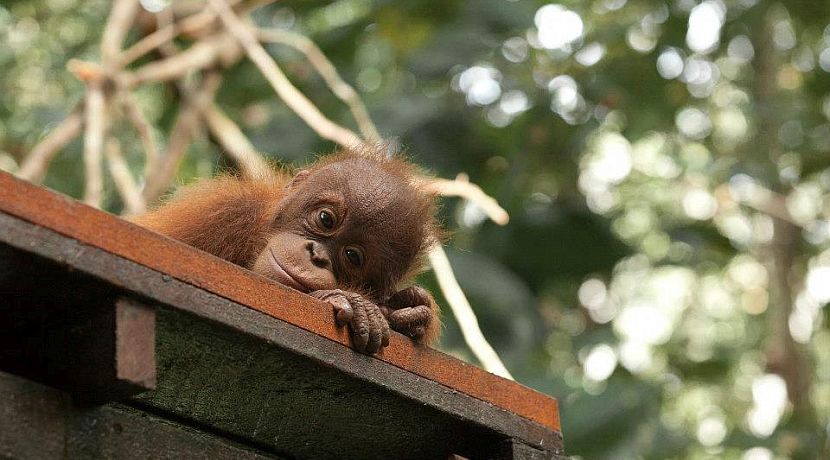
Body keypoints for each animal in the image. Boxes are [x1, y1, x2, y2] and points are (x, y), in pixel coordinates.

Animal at [132, 148, 442, 354]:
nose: (316, 255)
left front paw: (411, 312)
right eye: (325, 219)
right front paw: (352, 302)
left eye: (353, 256)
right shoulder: (222, 211)